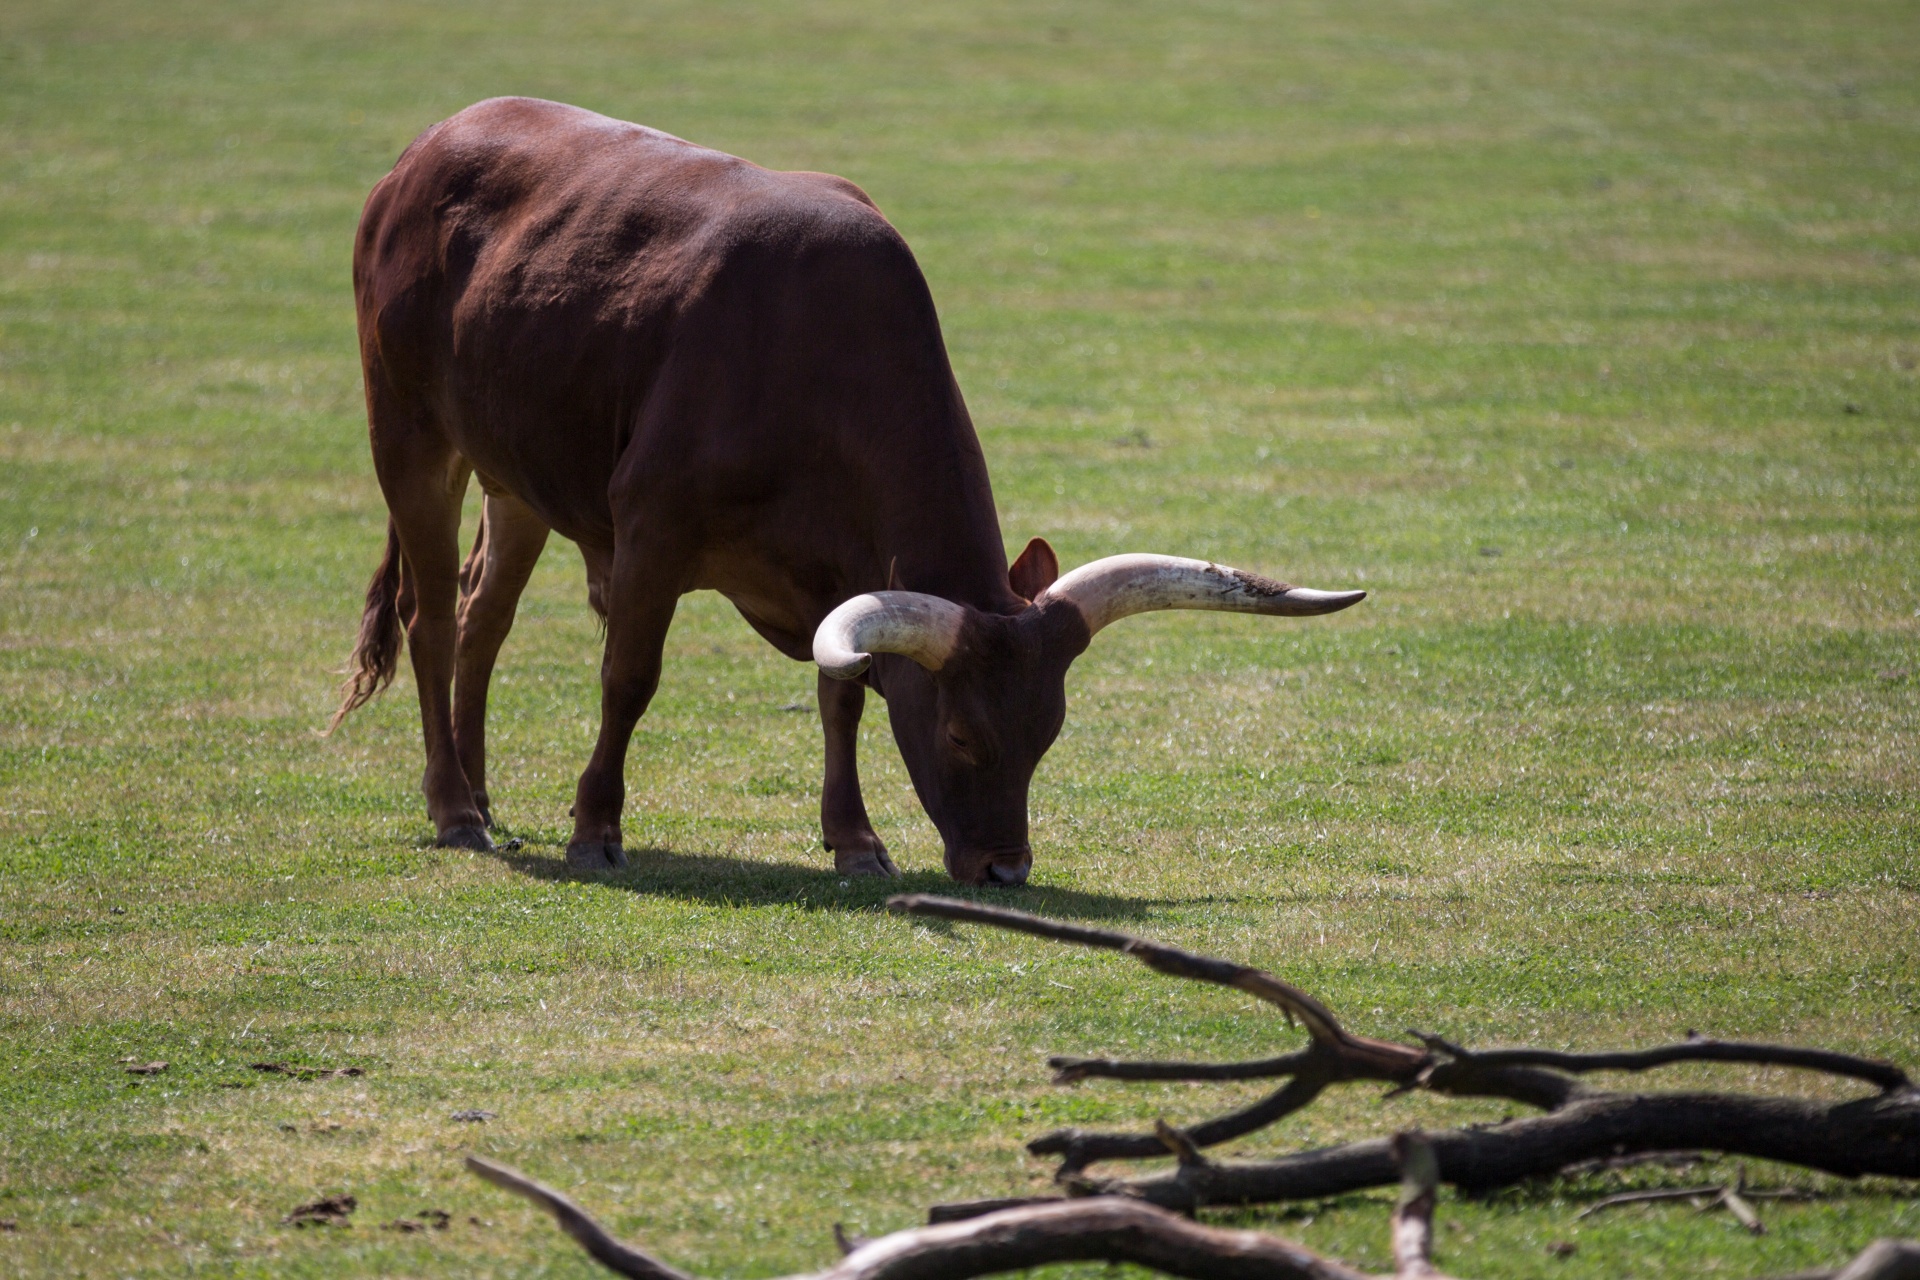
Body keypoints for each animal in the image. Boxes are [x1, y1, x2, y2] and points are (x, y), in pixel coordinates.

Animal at [330, 100, 1359, 886]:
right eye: (962, 738)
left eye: (1049, 736)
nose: (1005, 870)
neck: (815, 356)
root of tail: (427, 147)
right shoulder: (650, 536)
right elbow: (629, 679)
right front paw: (596, 830)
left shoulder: (843, 575)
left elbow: (845, 697)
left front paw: (856, 839)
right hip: (410, 439)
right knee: (433, 619)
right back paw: (455, 808)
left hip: (518, 477)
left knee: (484, 616)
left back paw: (479, 788)